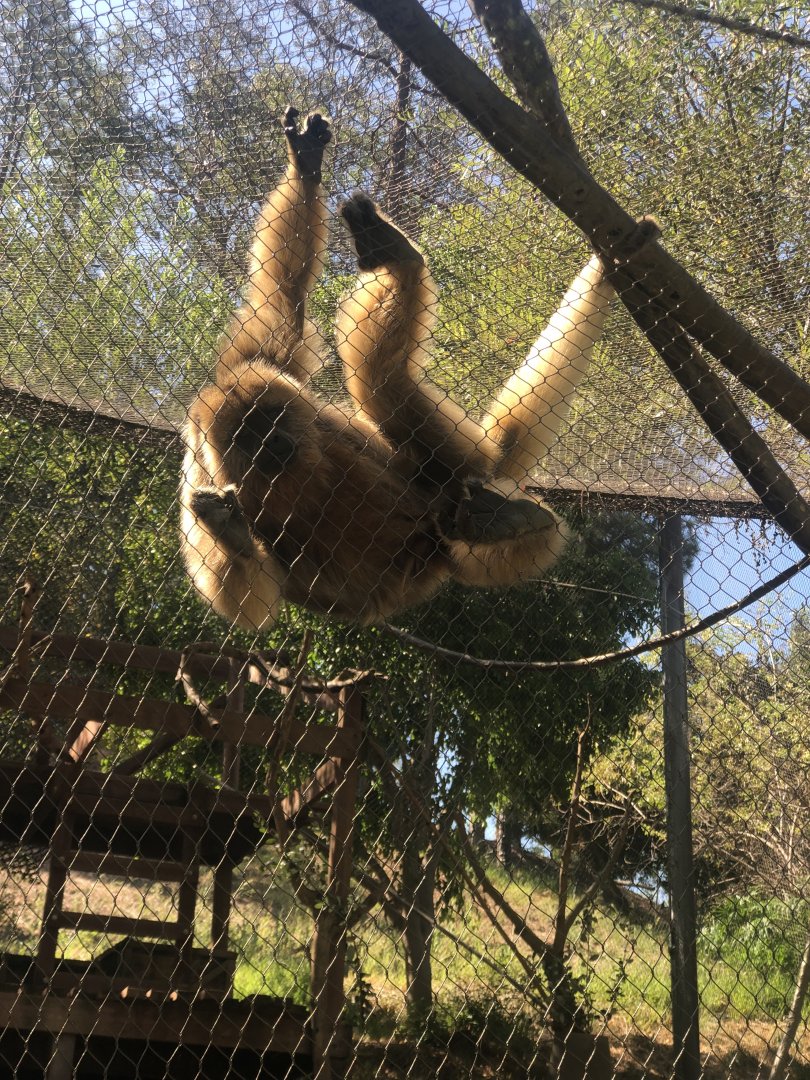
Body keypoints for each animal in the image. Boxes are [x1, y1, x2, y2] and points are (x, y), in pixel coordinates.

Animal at [181, 108, 660, 632]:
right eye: (248, 437)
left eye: (270, 422)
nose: (272, 443)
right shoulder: (197, 469)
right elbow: (248, 603)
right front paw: (230, 532)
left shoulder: (259, 361)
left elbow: (282, 297)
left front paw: (304, 167)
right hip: (442, 548)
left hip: (451, 491)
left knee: (381, 382)